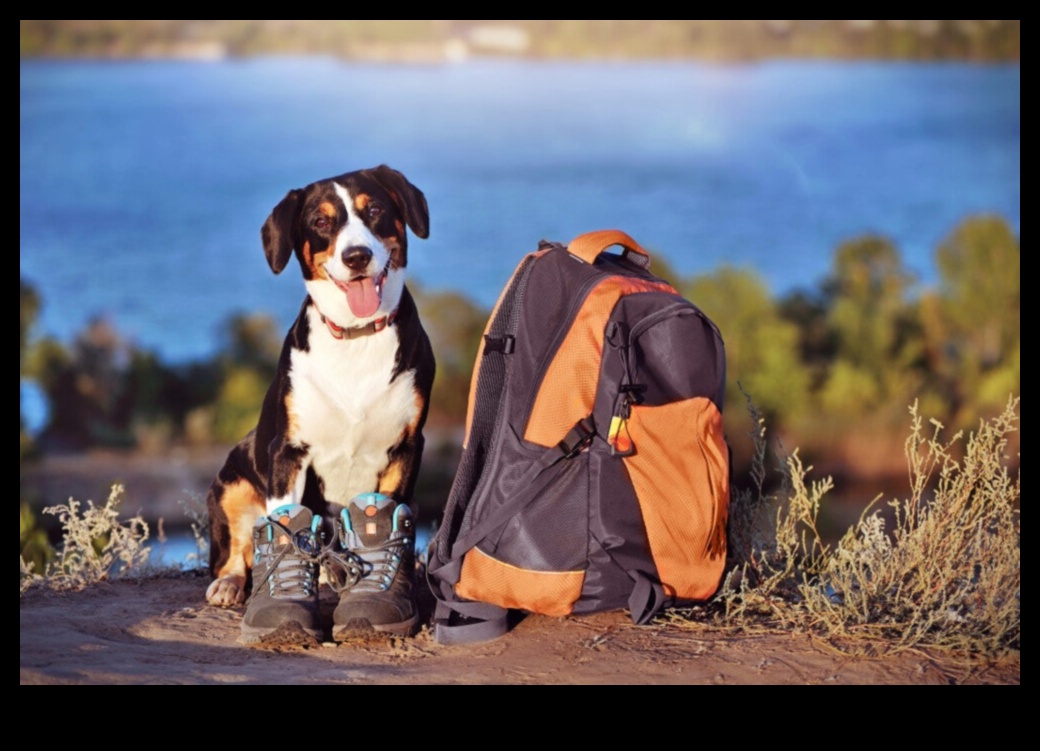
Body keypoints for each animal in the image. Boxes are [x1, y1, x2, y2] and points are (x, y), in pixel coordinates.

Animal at [204, 165, 432, 607]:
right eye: (321, 222)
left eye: (374, 209)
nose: (356, 256)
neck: (357, 335)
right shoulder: (287, 451)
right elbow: (283, 524)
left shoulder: (407, 446)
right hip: (231, 482)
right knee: (236, 550)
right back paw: (231, 583)